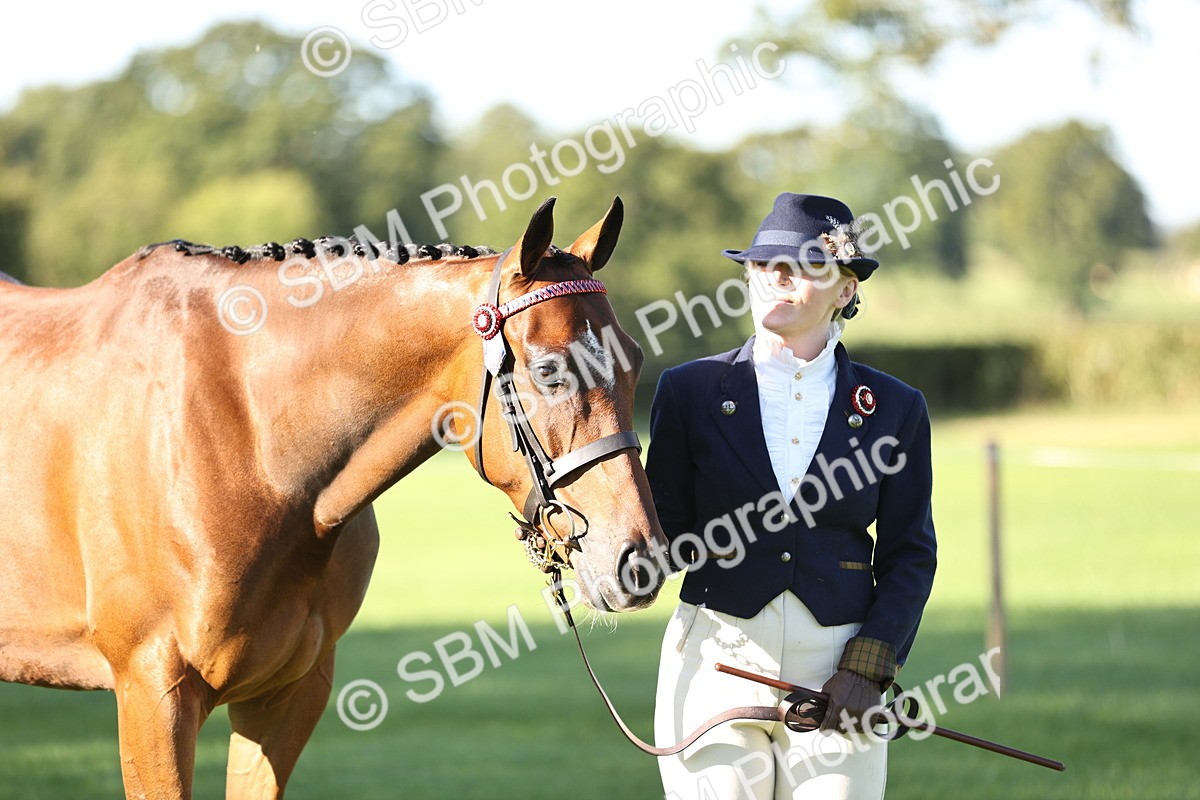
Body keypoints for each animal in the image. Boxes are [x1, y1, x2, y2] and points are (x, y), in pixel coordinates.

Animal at [0, 197, 666, 799]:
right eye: (550, 370)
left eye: (635, 360)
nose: (640, 561)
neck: (249, 439)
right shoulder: (152, 694)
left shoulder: (288, 694)